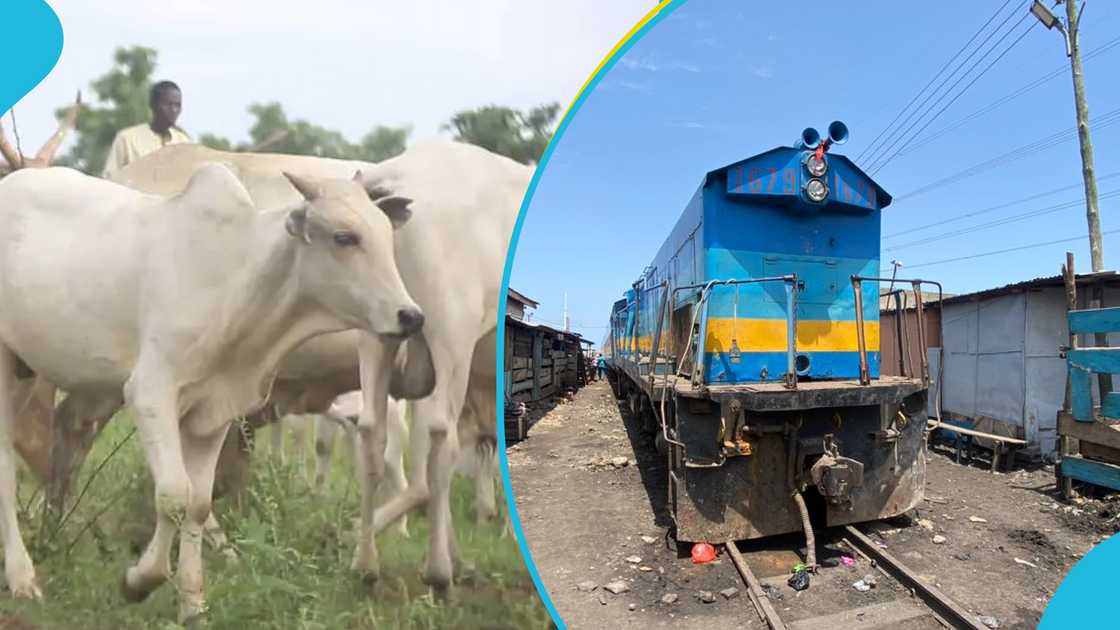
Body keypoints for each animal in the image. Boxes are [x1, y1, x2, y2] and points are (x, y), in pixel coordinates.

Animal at [0, 163, 421, 622]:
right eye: (345, 237)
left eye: (386, 234)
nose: (411, 316)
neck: (239, 279)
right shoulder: (150, 393)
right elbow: (173, 495)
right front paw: (138, 582)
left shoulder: (213, 412)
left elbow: (199, 504)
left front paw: (192, 604)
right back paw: (22, 578)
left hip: (28, 372)